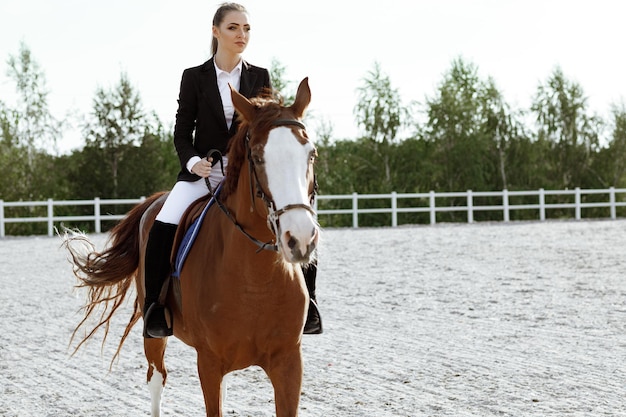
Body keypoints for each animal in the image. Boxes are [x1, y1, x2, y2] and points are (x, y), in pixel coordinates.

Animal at [64, 79, 320, 416]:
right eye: (257, 157)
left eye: (311, 155)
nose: (300, 239)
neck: (256, 279)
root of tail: (154, 200)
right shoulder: (209, 363)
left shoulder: (289, 363)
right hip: (152, 334)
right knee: (156, 378)